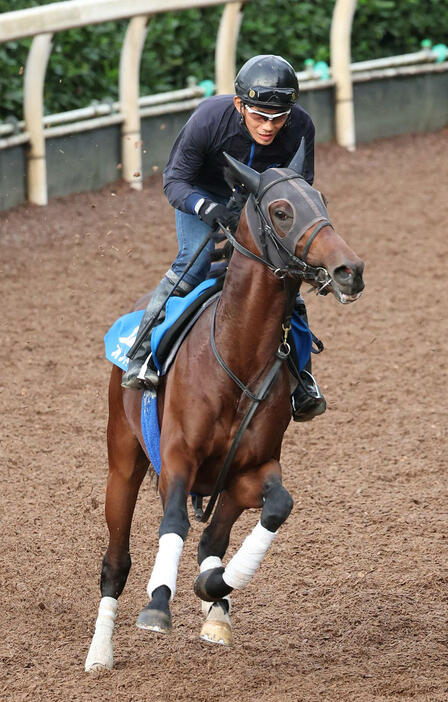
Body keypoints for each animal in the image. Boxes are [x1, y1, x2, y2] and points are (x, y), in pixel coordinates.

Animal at [84, 140, 364, 672]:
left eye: (321, 199)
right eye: (281, 211)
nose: (349, 270)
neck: (237, 357)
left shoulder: (251, 470)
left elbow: (276, 506)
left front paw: (214, 590)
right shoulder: (176, 457)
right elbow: (173, 522)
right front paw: (158, 603)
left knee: (211, 539)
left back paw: (215, 605)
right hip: (123, 460)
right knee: (116, 560)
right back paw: (99, 653)